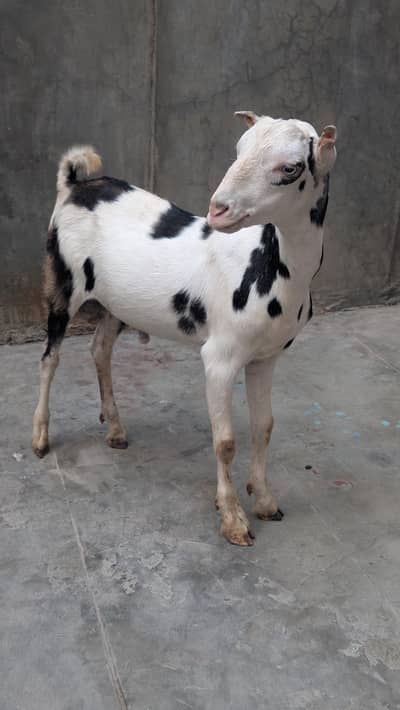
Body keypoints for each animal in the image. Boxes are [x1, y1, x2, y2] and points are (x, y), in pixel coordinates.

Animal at [32, 112, 337, 546]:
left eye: (290, 167)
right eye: (239, 149)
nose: (218, 209)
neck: (270, 265)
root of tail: (76, 184)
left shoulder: (266, 357)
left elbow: (264, 427)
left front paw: (264, 500)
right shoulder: (220, 358)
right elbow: (225, 442)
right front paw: (233, 520)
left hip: (115, 302)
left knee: (99, 349)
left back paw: (116, 429)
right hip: (62, 281)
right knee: (50, 359)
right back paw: (41, 437)